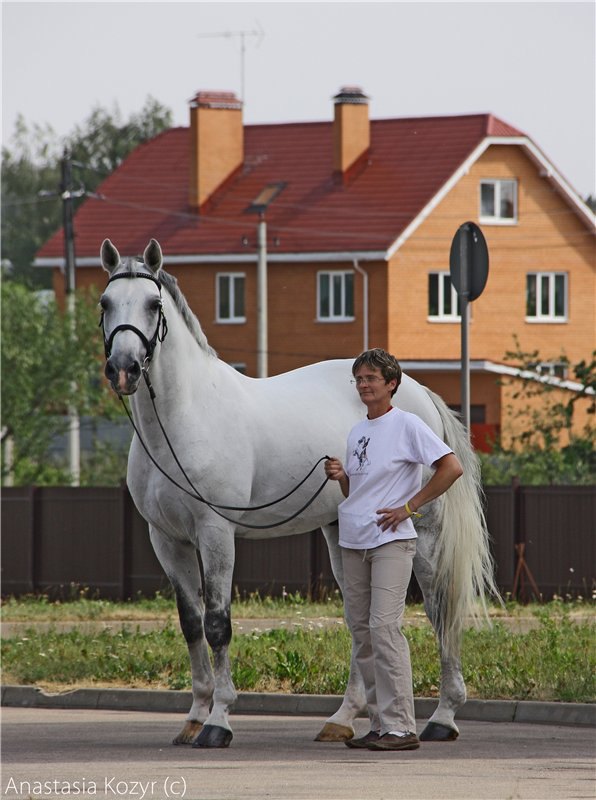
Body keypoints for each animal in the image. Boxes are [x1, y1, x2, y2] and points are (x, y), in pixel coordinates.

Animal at [99, 238, 498, 752]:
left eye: (152, 304)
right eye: (105, 303)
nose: (124, 369)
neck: (182, 417)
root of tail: (419, 393)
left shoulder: (214, 533)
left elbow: (217, 623)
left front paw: (218, 722)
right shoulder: (167, 540)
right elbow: (190, 624)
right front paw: (193, 717)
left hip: (425, 535)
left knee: (438, 609)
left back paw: (443, 718)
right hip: (340, 533)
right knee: (359, 619)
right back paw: (346, 719)